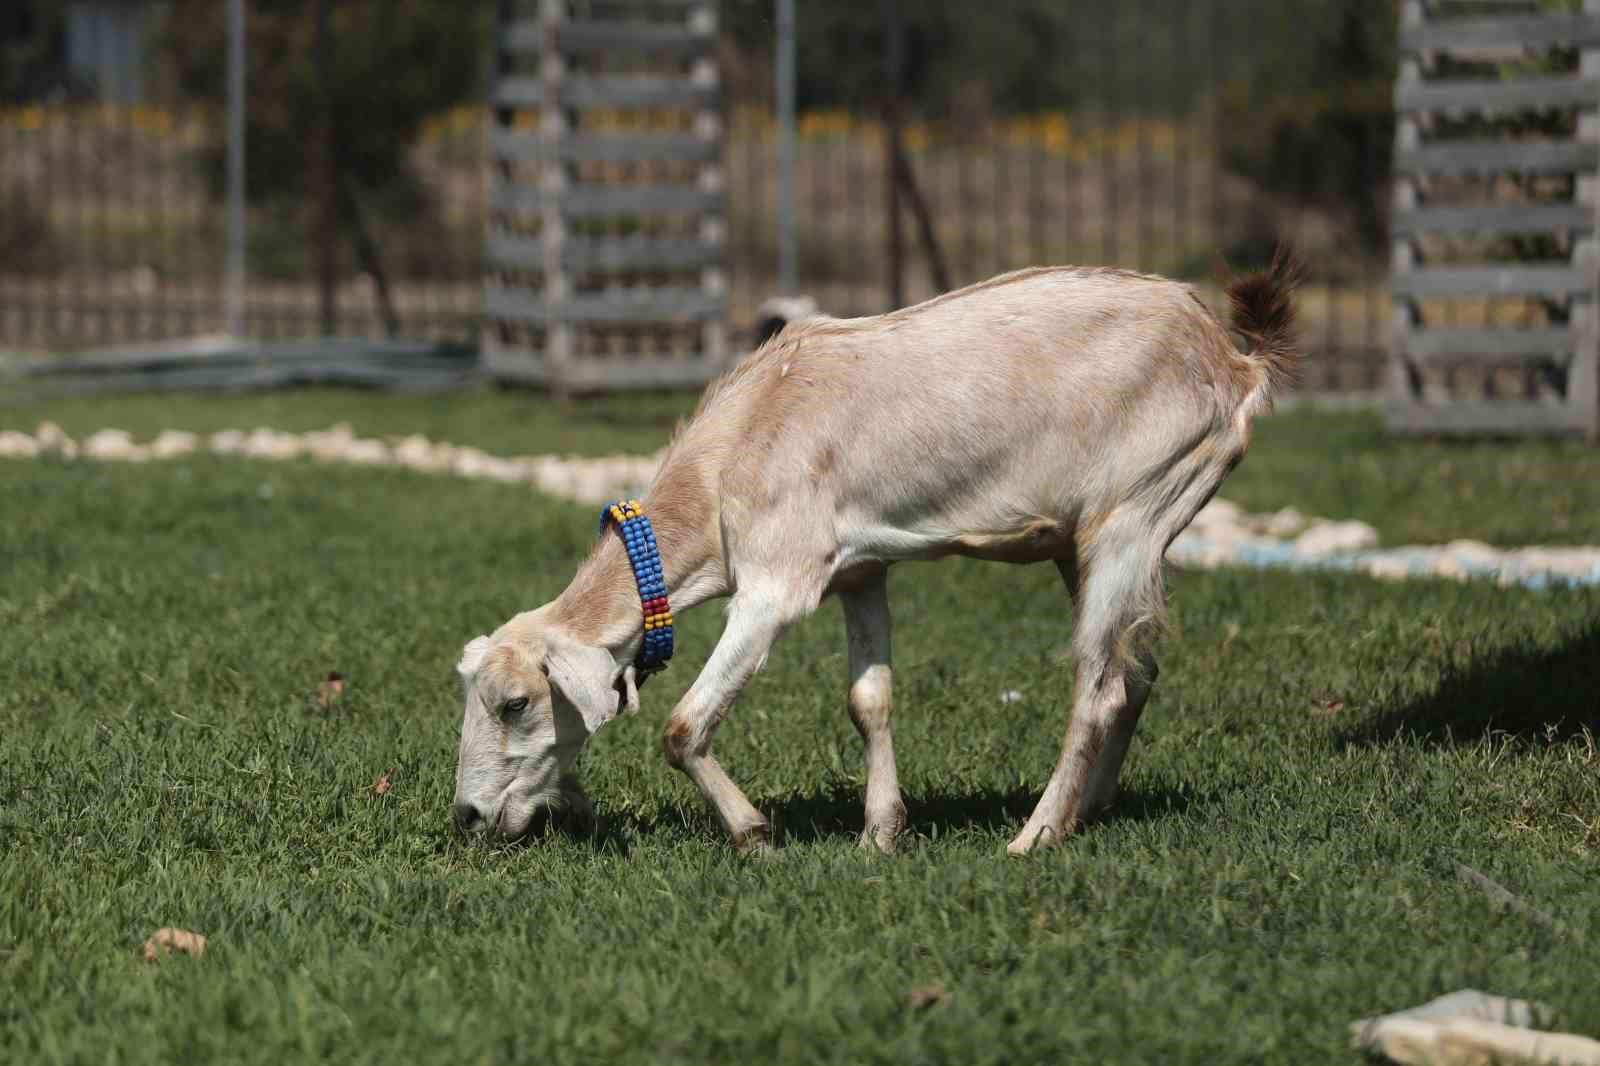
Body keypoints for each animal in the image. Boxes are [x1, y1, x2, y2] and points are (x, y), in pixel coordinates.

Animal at [451, 249, 1299, 857]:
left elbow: (684, 725)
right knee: (1137, 667)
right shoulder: (859, 569)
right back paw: (1088, 810)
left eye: (515, 702)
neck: (726, 462)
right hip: (1091, 540)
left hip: (1138, 507)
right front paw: (880, 834)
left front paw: (755, 835)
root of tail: (1236, 362)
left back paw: (1034, 836)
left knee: (1098, 685)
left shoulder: (776, 580)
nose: (467, 815)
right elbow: (869, 700)